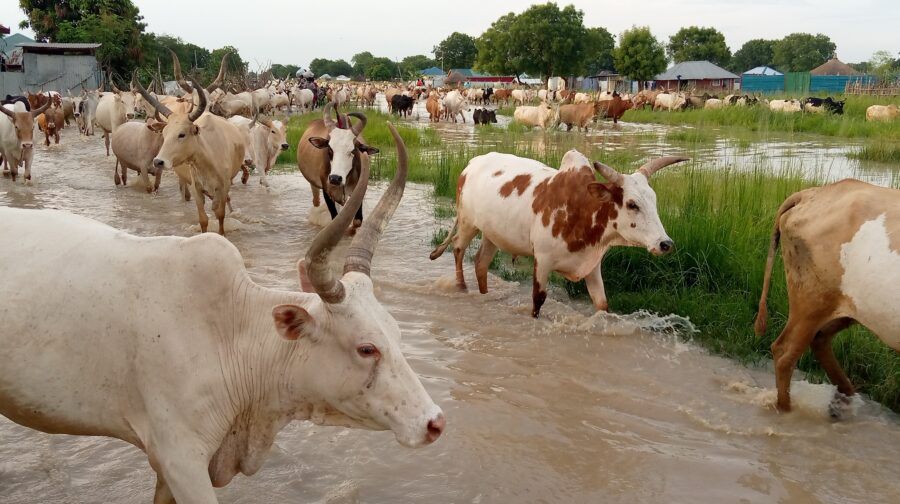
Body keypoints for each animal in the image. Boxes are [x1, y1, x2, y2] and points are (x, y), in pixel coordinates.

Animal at [298, 102, 378, 230]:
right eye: (330, 149)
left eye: (352, 151)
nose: (335, 178)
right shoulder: (327, 191)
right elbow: (335, 219)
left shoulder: (358, 190)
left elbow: (357, 221)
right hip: (314, 185)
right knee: (316, 201)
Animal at [428, 148, 688, 316]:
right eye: (632, 204)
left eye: (654, 201)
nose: (665, 243)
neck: (582, 209)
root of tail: (472, 164)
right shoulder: (542, 262)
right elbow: (537, 301)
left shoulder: (592, 266)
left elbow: (602, 305)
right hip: (467, 223)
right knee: (458, 249)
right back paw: (462, 288)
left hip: (492, 234)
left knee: (481, 263)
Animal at [752, 179, 900, 416]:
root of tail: (811, 192)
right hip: (811, 302)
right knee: (785, 352)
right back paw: (787, 410)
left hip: (847, 307)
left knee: (820, 339)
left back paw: (843, 402)